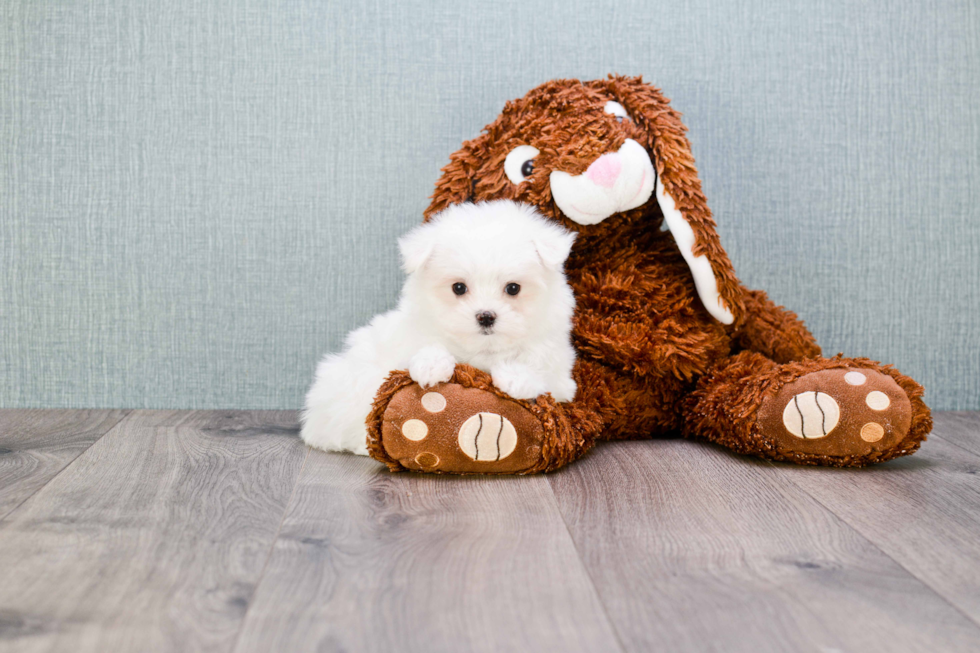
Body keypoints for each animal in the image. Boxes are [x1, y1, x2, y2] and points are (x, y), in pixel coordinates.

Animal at [298, 199, 576, 454]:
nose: (485, 316)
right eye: (459, 288)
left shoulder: (561, 373)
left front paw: (517, 378)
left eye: (513, 288)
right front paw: (431, 367)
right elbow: (427, 347)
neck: (482, 350)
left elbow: (538, 365)